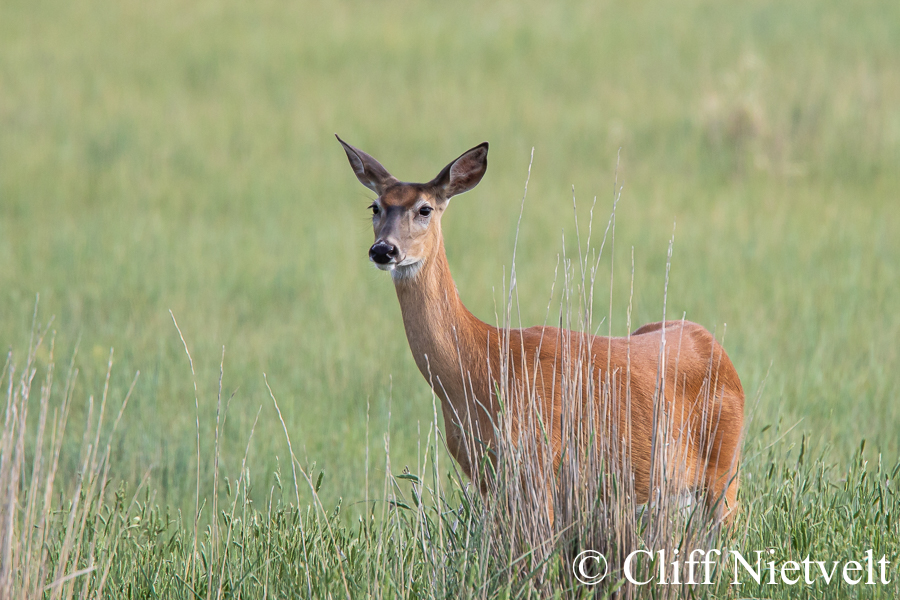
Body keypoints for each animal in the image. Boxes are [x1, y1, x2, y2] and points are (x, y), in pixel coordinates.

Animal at [338, 135, 744, 520]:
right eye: (375, 207)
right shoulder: (484, 473)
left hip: (725, 474)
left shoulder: (543, 462)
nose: (384, 250)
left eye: (424, 209)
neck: (481, 367)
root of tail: (717, 349)